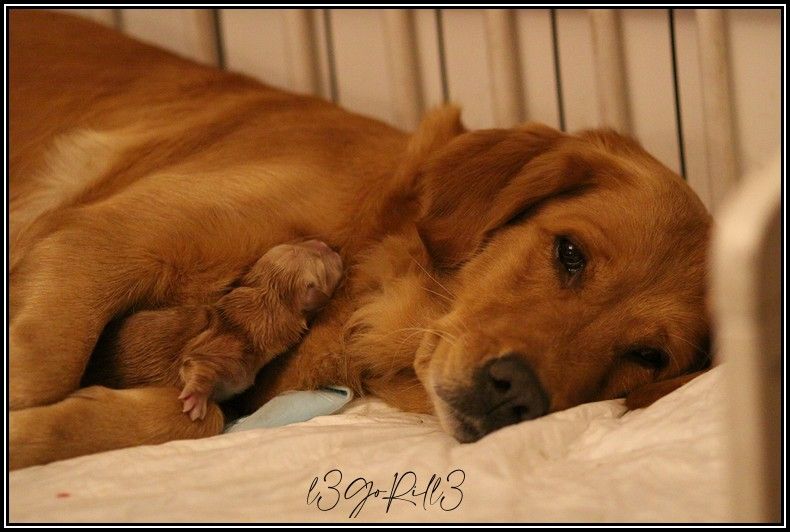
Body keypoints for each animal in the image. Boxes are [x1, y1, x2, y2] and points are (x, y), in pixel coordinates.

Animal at [90, 240, 344, 420]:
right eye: (320, 260)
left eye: (300, 245)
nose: (323, 243)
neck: (262, 302)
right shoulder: (224, 345)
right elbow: (198, 362)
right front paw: (195, 397)